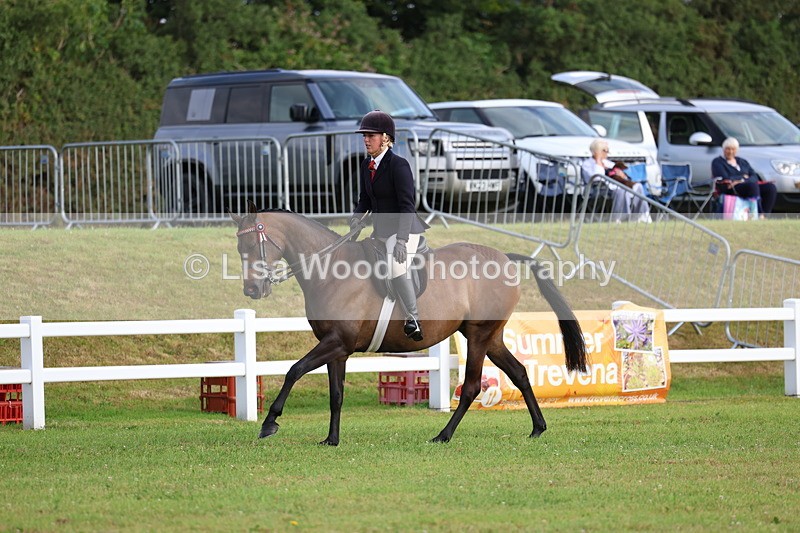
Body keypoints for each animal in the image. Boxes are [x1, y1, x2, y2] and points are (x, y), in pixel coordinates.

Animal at [230, 202, 587, 445]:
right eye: (238, 248)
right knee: (519, 373)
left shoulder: (336, 342)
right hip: (492, 337)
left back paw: (443, 435)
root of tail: (504, 257)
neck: (331, 269)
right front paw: (331, 439)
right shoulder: (338, 348)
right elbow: (336, 394)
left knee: (472, 386)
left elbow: (294, 370)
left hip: (478, 335)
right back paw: (537, 428)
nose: (252, 290)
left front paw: (269, 423)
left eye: (251, 245)